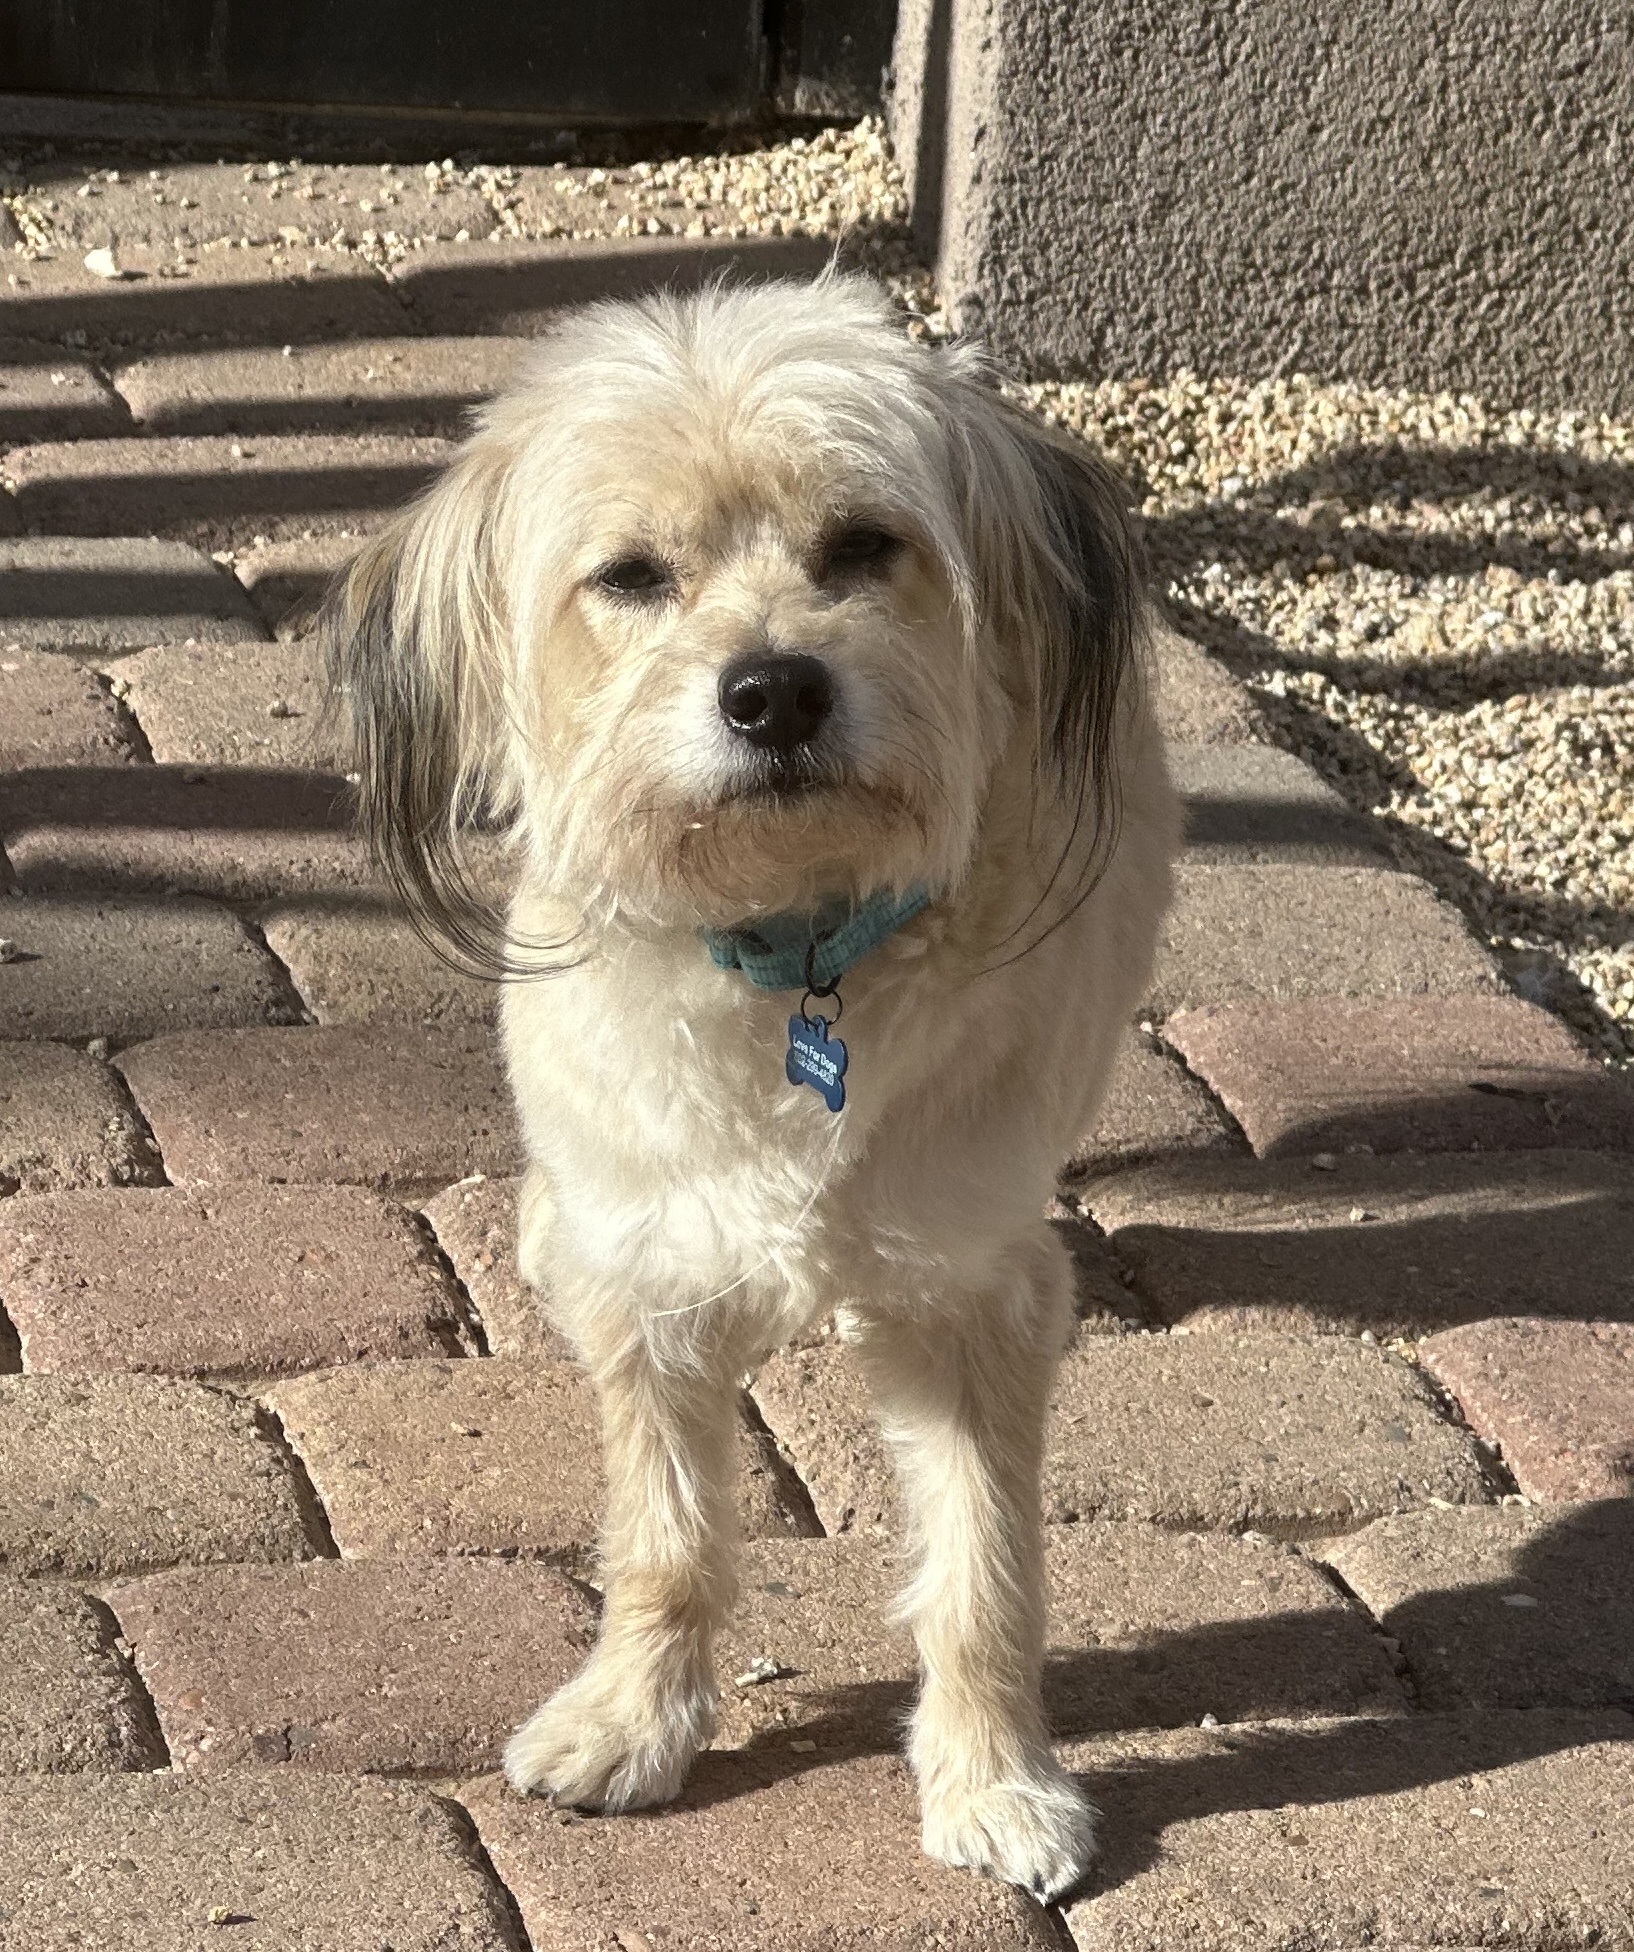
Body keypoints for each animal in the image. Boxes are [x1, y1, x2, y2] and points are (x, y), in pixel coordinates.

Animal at [326, 275, 1179, 1905]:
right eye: (631, 576)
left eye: (860, 546)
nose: (773, 688)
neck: (794, 951)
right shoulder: (646, 1280)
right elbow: (664, 1541)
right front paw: (632, 1718)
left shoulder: (972, 1295)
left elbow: (981, 1572)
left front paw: (996, 1779)